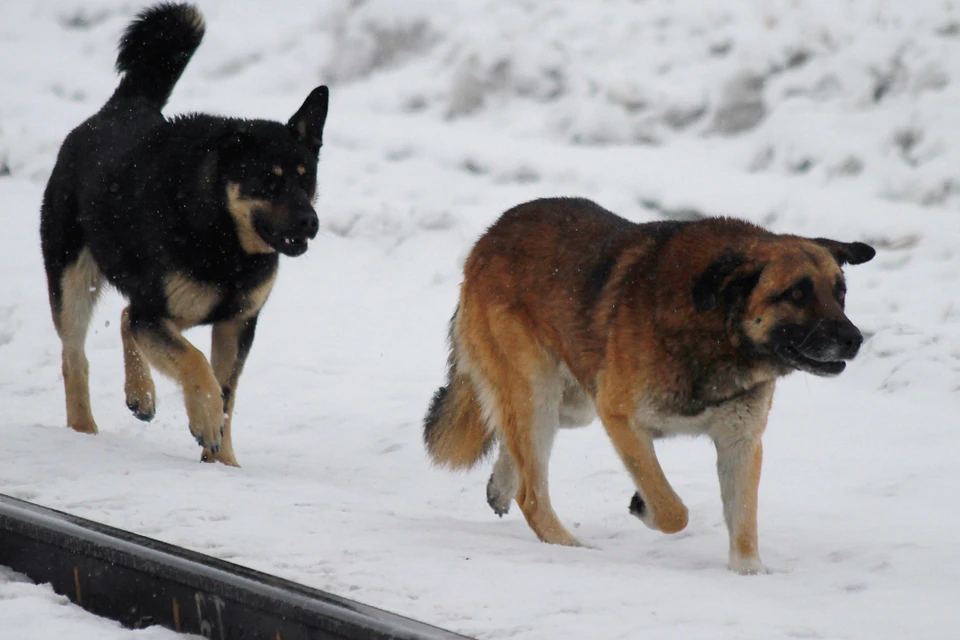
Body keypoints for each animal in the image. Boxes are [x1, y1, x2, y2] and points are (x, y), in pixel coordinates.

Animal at [40, 3, 330, 464]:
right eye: (268, 181)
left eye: (307, 179)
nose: (310, 222)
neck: (225, 239)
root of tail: (122, 107)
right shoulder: (159, 312)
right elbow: (196, 363)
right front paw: (205, 422)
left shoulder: (236, 323)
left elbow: (227, 391)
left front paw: (223, 461)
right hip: (73, 279)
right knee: (75, 355)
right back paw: (83, 428)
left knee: (125, 317)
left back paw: (141, 395)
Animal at [424, 198, 872, 572]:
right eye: (796, 294)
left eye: (840, 293)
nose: (854, 340)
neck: (716, 327)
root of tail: (490, 235)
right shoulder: (621, 418)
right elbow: (672, 510)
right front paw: (645, 507)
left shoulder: (741, 442)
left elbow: (744, 521)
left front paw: (749, 574)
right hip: (540, 392)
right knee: (531, 494)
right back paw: (568, 545)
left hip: (571, 403)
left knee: (509, 435)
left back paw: (502, 484)